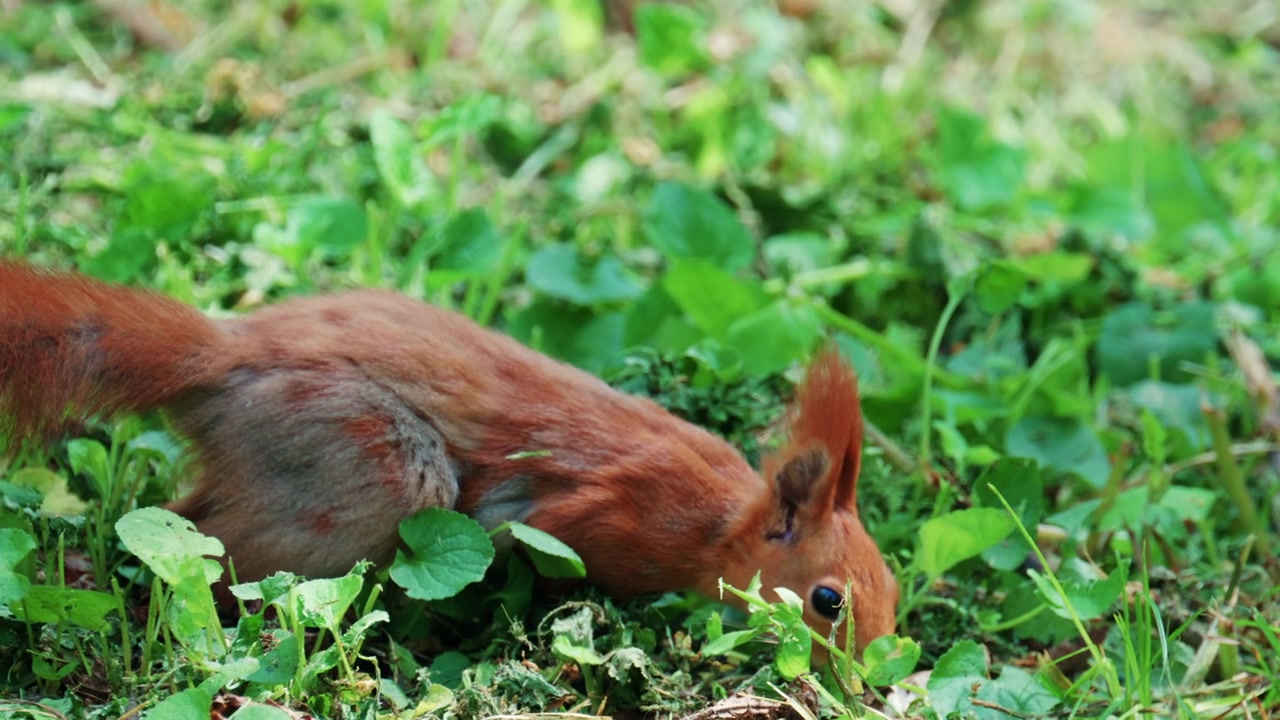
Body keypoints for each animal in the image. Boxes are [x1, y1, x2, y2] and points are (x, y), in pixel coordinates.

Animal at [0, 260, 898, 652]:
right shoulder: (604, 517)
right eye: (827, 601)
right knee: (222, 564)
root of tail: (223, 359)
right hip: (370, 463)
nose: (870, 677)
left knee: (181, 529)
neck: (718, 519)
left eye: (893, 589)